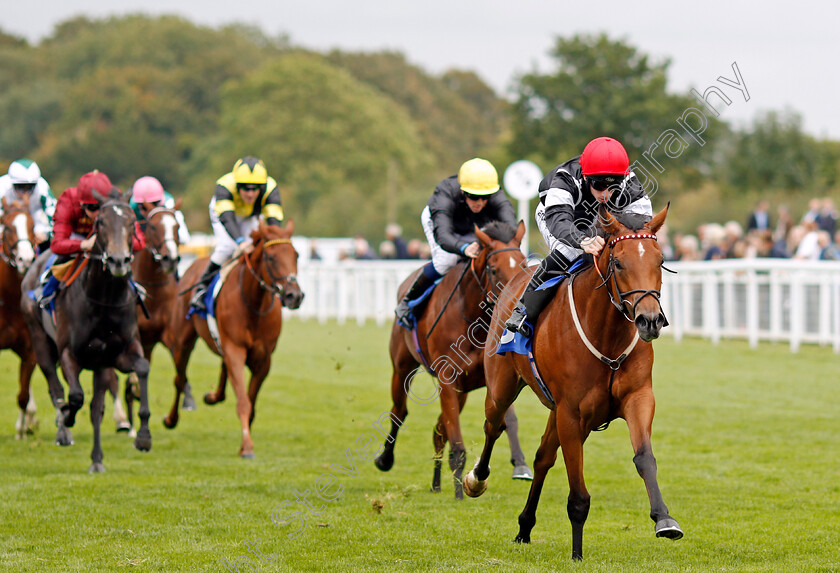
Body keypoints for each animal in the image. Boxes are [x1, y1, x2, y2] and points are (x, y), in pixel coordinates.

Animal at [162, 219, 304, 456]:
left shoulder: (263, 359)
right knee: (179, 379)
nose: (295, 296)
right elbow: (243, 402)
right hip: (183, 341)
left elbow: (251, 403)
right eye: (271, 257)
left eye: (296, 255)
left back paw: (212, 396)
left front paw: (244, 443)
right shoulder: (235, 349)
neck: (254, 304)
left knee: (221, 369)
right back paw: (171, 419)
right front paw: (246, 447)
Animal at [376, 221, 532, 498]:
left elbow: (507, 422)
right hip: (403, 366)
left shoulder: (493, 378)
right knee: (399, 411)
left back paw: (436, 483)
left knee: (439, 431)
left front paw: (520, 465)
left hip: (463, 391)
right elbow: (457, 443)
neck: (474, 323)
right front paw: (461, 492)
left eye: (523, 265)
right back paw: (386, 459)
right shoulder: (447, 379)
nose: (515, 304)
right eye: (493, 269)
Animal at [466, 206, 684, 560]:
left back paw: (525, 527)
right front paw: (577, 553)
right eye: (618, 262)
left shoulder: (638, 398)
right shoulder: (571, 413)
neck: (606, 336)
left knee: (542, 457)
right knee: (493, 426)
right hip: (502, 388)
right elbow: (578, 493)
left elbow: (644, 458)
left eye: (659, 259)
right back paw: (476, 478)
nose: (649, 320)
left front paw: (664, 520)